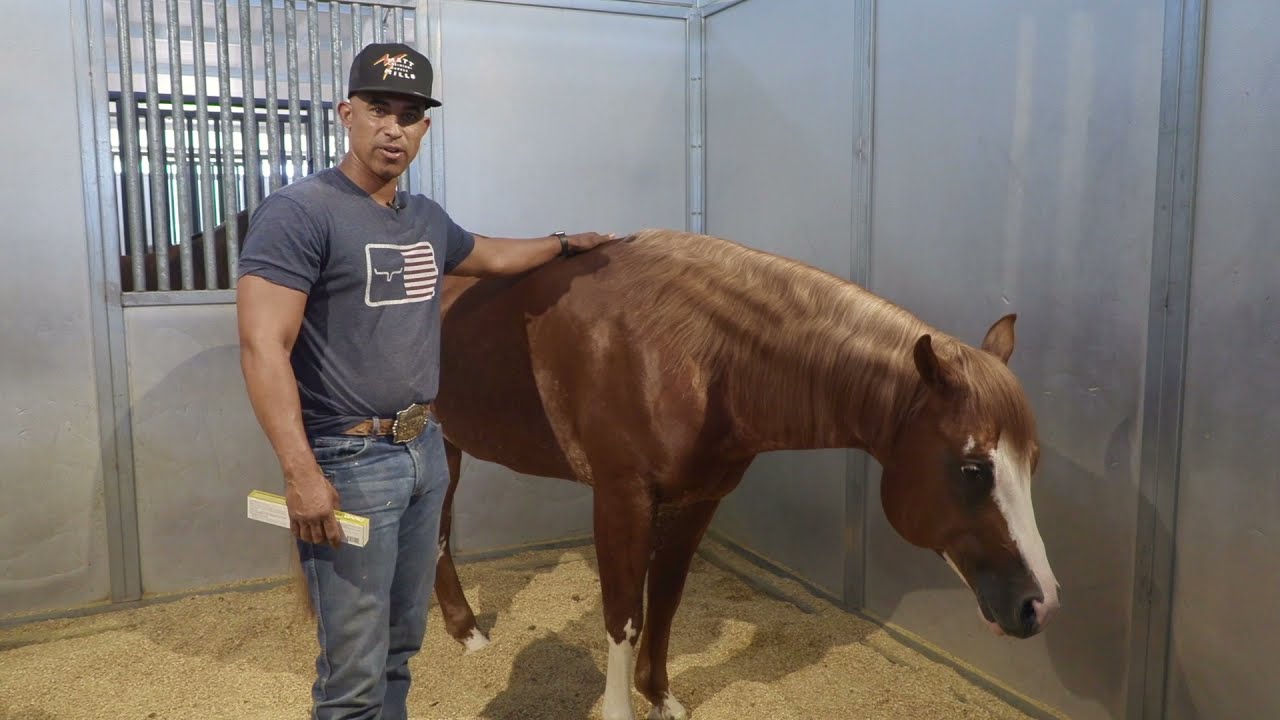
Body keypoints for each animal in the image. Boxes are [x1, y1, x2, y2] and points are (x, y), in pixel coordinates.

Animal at [429, 228, 1061, 720]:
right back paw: (467, 633)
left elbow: (666, 598)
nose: (1041, 605)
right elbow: (623, 614)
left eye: (1033, 461)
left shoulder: (699, 498)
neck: (692, 353)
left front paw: (661, 697)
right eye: (973, 468)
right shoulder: (621, 496)